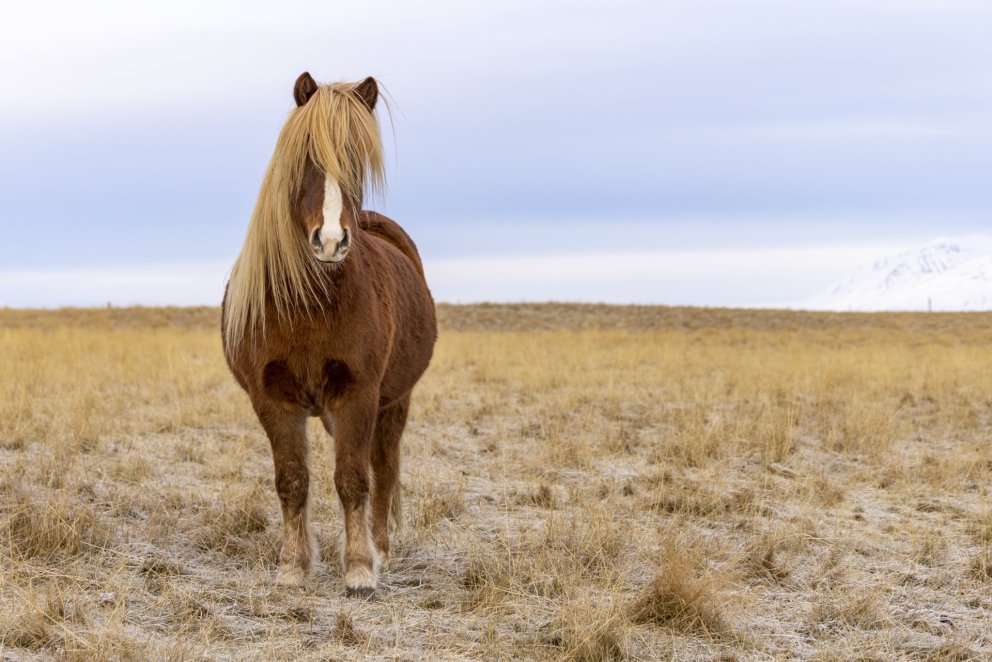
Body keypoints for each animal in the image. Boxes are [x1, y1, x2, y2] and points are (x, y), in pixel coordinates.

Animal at [221, 73, 437, 598]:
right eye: (307, 160)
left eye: (357, 161)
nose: (333, 241)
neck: (308, 305)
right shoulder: (272, 398)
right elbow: (292, 480)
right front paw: (293, 566)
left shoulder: (358, 394)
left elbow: (354, 479)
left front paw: (359, 568)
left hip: (394, 401)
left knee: (384, 469)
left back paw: (381, 549)